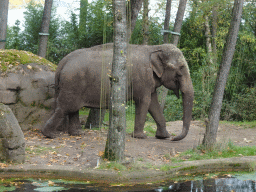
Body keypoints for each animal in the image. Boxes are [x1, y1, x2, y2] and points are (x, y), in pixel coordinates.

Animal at [42, 43, 194, 141]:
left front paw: (163, 136)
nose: (174, 138)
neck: (154, 47)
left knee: (72, 109)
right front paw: (141, 136)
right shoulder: (142, 78)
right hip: (73, 83)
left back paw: (77, 134)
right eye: (180, 69)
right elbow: (144, 102)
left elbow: (154, 104)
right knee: (65, 108)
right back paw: (49, 135)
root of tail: (62, 63)